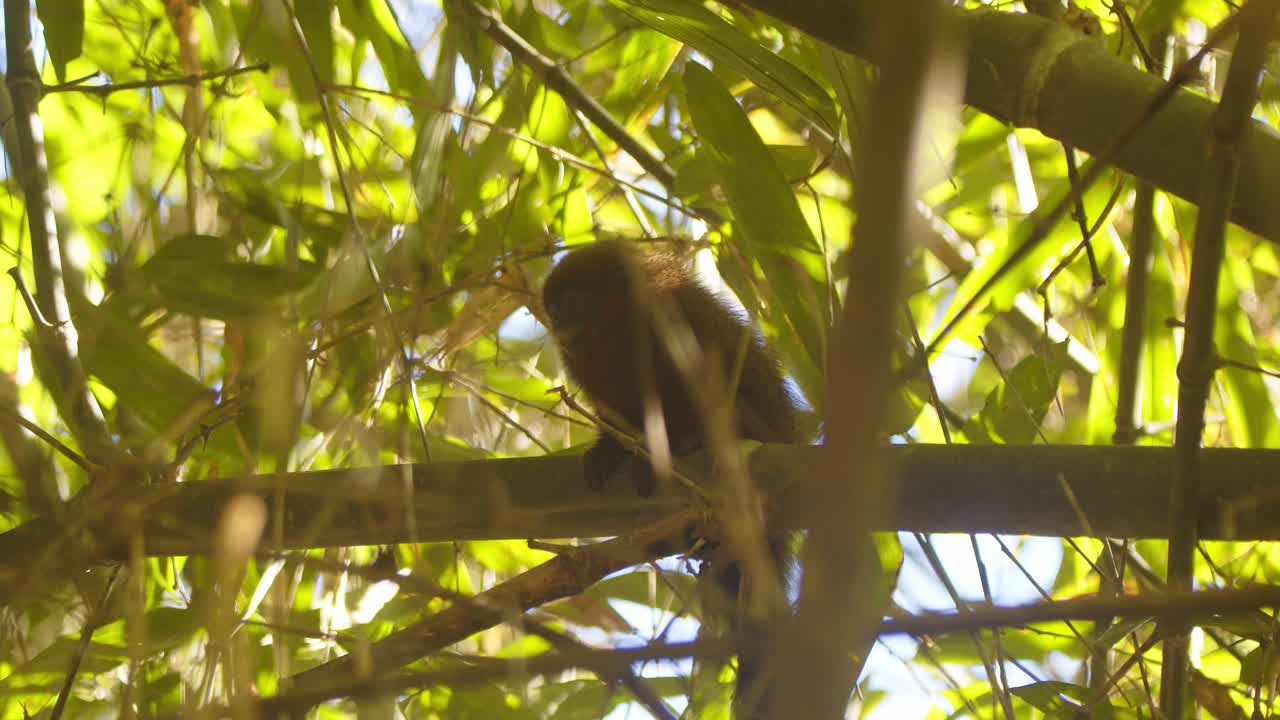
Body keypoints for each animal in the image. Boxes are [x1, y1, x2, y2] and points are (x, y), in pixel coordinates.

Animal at [541, 240, 798, 719]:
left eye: (571, 303)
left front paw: (670, 446)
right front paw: (611, 449)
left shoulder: (670, 312)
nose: (559, 323)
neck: (616, 331)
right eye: (552, 308)